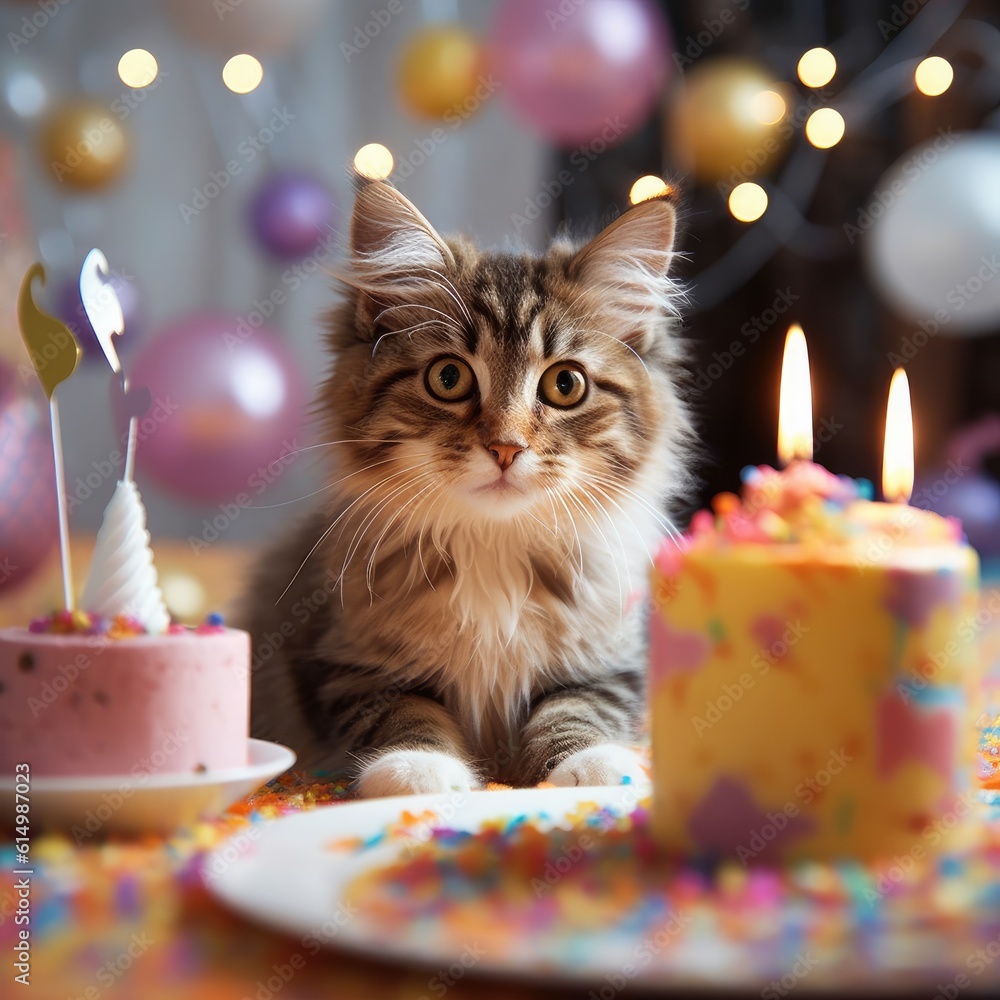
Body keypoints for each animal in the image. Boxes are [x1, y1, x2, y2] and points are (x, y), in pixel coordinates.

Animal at [240, 180, 696, 796]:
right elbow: (402, 710)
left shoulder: (612, 663)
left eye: (566, 385)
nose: (505, 447)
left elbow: (577, 708)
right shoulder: (341, 660)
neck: (492, 547)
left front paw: (592, 766)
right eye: (449, 377)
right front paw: (420, 768)